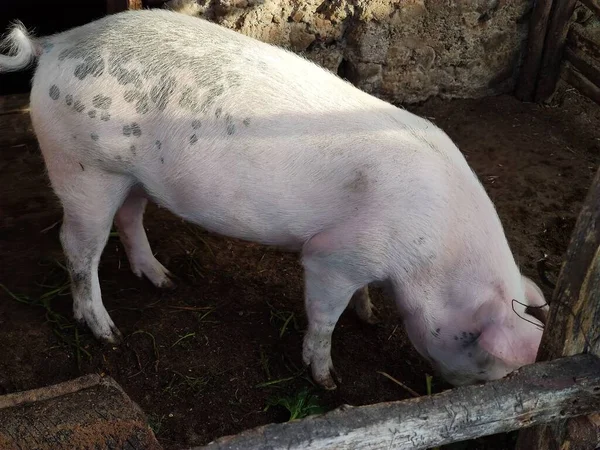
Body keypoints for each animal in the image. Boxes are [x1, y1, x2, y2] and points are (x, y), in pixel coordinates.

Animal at [0, 9, 548, 390]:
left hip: (131, 176)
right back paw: (107, 333)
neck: (436, 256)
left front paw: (369, 316)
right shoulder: (333, 257)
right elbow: (324, 318)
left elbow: (358, 302)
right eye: (486, 360)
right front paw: (328, 380)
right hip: (83, 167)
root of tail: (58, 41)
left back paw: (165, 281)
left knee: (130, 219)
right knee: (77, 248)